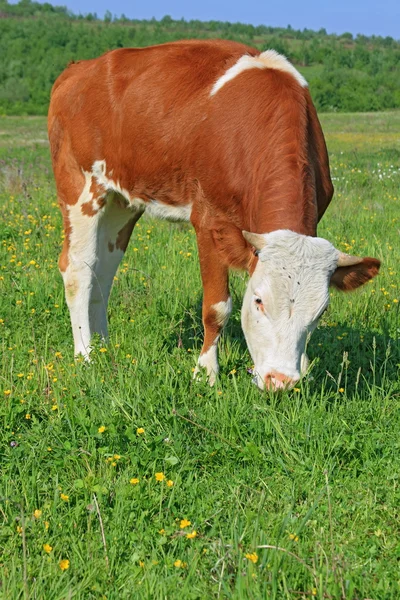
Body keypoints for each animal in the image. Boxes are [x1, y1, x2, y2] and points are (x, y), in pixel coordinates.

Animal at [48, 39, 380, 392]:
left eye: (321, 311)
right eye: (258, 300)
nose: (279, 380)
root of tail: (78, 68)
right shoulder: (209, 220)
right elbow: (216, 307)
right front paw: (205, 372)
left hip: (122, 200)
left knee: (105, 268)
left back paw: (104, 346)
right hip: (79, 186)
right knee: (78, 268)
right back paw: (85, 355)